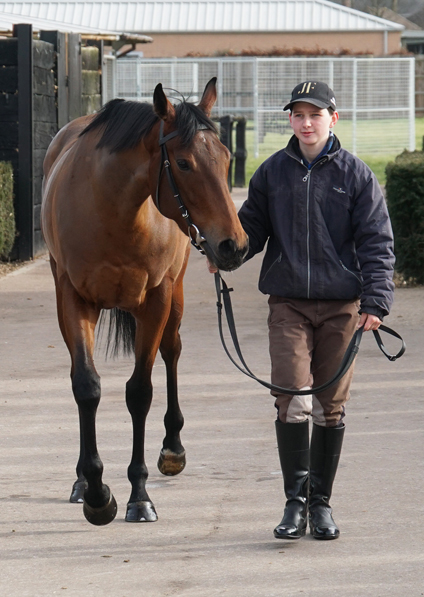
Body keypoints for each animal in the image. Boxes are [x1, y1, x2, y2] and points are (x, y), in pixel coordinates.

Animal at [41, 79, 248, 528]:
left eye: (225, 158)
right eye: (184, 163)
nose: (234, 245)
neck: (114, 210)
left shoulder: (157, 300)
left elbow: (140, 392)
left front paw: (138, 496)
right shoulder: (72, 297)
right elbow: (86, 386)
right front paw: (96, 493)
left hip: (176, 296)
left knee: (171, 352)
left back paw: (172, 449)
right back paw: (82, 481)